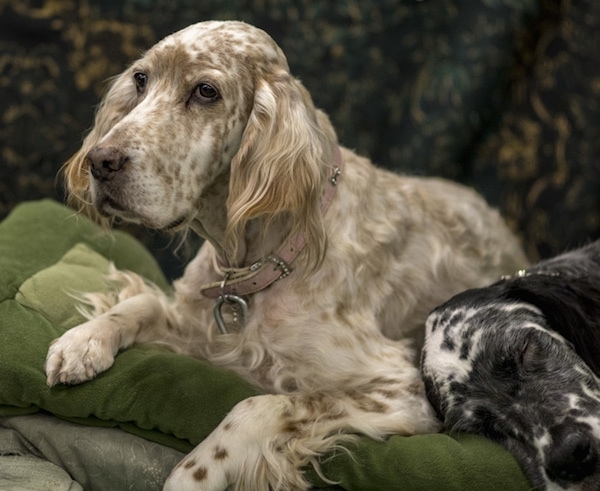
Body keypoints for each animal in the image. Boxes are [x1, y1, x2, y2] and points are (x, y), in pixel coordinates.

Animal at [44, 20, 528, 491]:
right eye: (141, 80)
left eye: (206, 91)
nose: (99, 161)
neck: (258, 260)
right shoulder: (198, 325)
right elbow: (142, 302)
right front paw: (83, 340)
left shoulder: (403, 390)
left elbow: (261, 405)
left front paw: (193, 473)